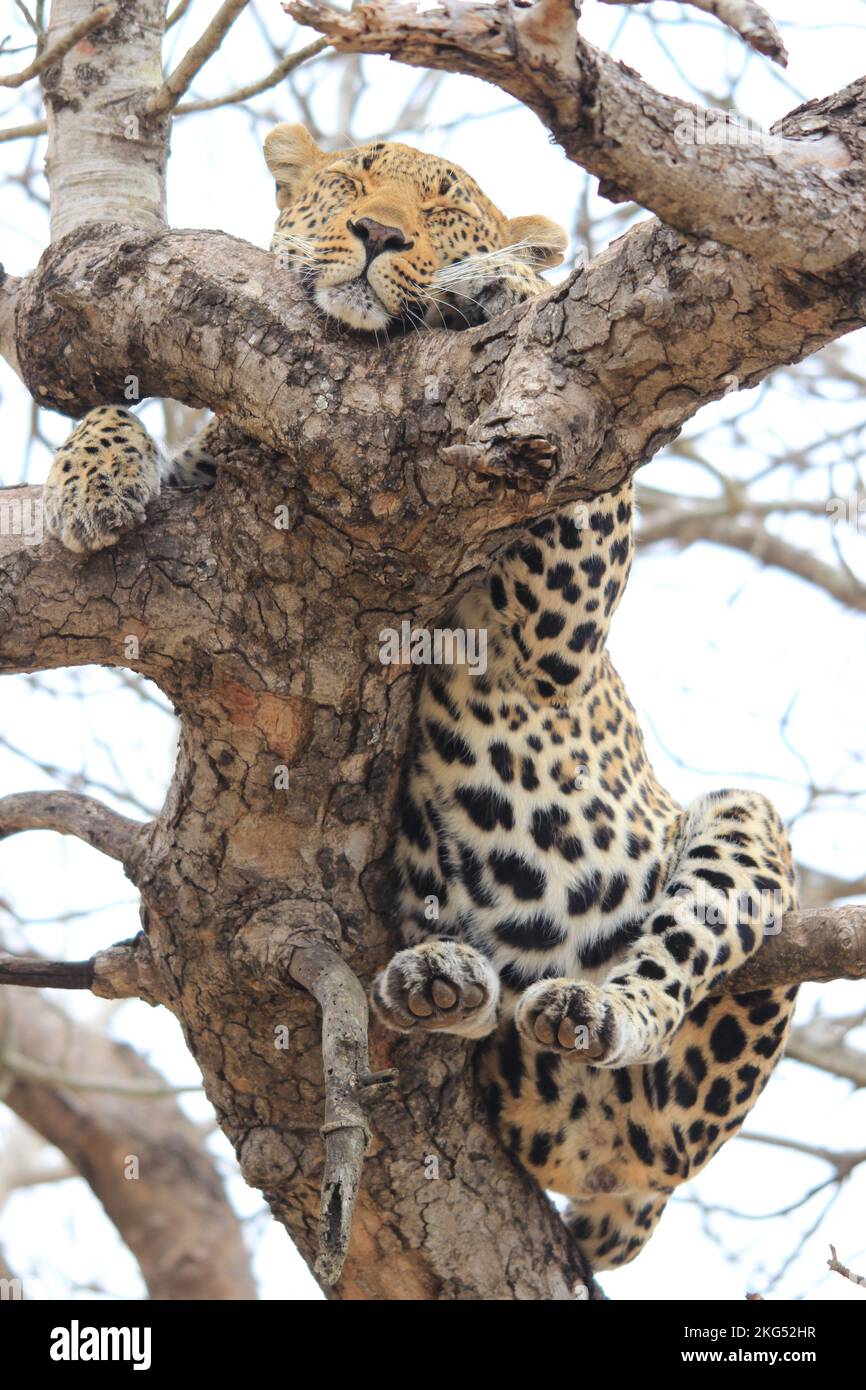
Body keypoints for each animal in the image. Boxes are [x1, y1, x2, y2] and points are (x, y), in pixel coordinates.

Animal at [42, 128, 798, 1275]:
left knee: (662, 977)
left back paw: (587, 1006)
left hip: (714, 915)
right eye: (352, 179)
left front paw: (502, 280)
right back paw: (438, 980)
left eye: (445, 210)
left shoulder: (556, 635)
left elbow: (568, 434)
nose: (378, 233)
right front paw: (89, 480)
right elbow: (119, 419)